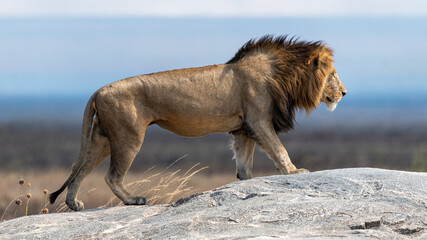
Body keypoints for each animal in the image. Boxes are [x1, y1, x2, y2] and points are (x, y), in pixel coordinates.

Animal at [50, 35, 348, 210]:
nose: (345, 93)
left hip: (101, 138)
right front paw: (295, 172)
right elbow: (279, 149)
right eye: (333, 73)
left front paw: (245, 183)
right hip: (128, 136)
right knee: (111, 176)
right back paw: (134, 200)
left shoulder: (243, 128)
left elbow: (244, 164)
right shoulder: (259, 120)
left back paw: (74, 203)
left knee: (78, 169)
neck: (283, 74)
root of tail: (98, 90)